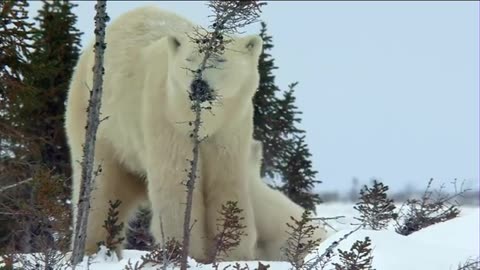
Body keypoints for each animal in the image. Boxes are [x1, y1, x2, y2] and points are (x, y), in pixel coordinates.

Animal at [64, 5, 262, 262]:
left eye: (220, 58)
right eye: (189, 58)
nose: (198, 85)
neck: (204, 122)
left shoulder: (230, 128)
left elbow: (227, 184)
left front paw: (234, 254)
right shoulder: (167, 119)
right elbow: (175, 184)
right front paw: (185, 253)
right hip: (101, 125)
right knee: (100, 186)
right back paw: (91, 250)